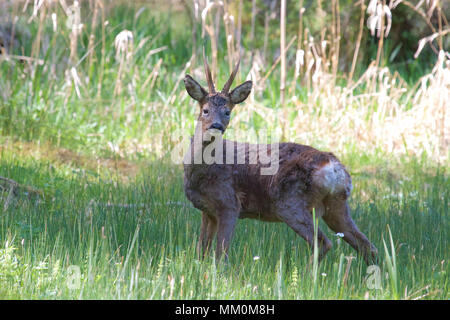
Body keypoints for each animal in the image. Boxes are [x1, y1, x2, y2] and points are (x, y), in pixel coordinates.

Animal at [184, 53, 380, 264]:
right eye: (205, 110)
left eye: (227, 112)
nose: (217, 126)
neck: (201, 172)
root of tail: (336, 169)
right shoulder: (207, 210)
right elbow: (201, 251)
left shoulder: (229, 203)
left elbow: (221, 254)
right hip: (337, 205)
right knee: (367, 246)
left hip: (291, 203)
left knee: (323, 243)